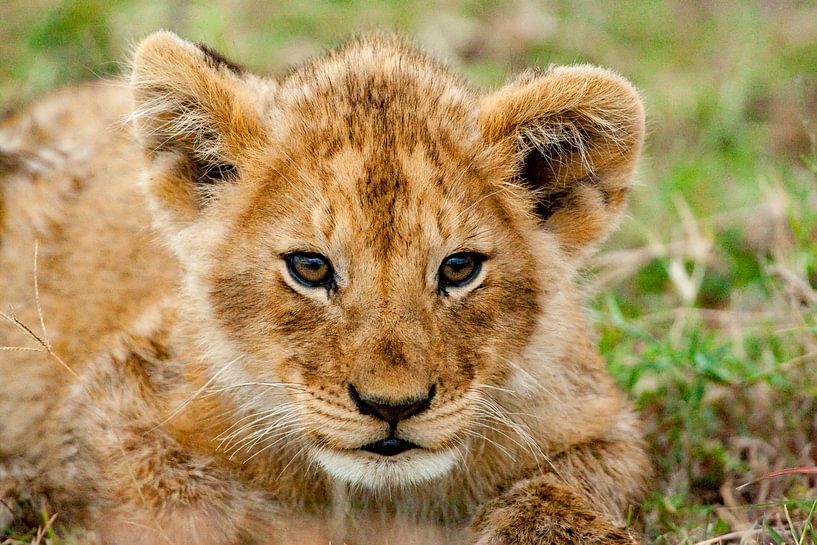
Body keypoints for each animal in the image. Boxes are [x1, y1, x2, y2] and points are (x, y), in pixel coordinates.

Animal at [0, 31, 649, 544]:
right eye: (310, 268)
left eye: (459, 268)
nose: (393, 407)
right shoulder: (112, 400)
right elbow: (189, 501)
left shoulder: (602, 423)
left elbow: (562, 486)